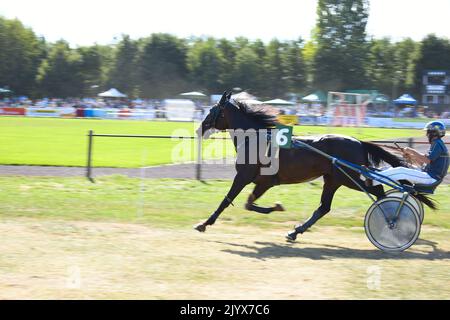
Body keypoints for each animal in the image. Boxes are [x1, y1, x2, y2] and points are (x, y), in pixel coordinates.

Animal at [194, 91, 436, 241]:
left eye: (212, 111)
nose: (199, 128)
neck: (256, 139)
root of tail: (358, 142)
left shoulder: (244, 177)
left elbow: (227, 201)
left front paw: (204, 223)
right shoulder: (263, 181)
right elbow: (248, 204)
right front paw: (276, 207)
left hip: (350, 178)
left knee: (378, 192)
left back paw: (392, 220)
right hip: (333, 179)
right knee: (324, 207)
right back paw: (296, 231)